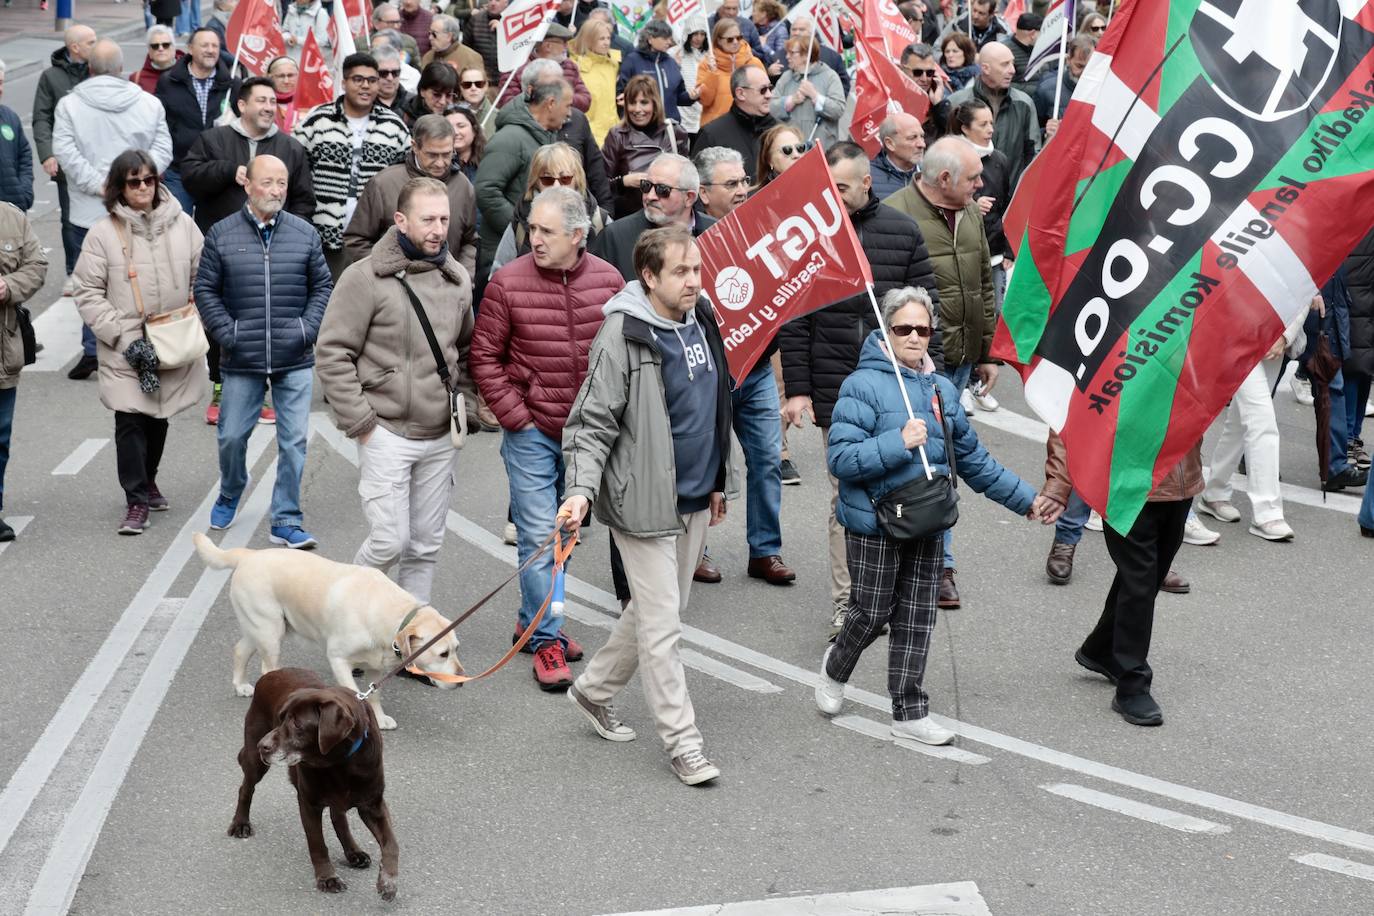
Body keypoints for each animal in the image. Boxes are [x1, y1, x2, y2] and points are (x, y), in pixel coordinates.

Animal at [193, 532, 464, 725]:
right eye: (443, 654)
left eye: (456, 649)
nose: (462, 681)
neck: (387, 611)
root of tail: (248, 555)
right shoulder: (338, 659)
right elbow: (354, 693)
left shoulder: (376, 667)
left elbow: (373, 694)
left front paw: (379, 718)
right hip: (269, 632)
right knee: (266, 668)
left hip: (261, 628)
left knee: (240, 650)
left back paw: (240, 685)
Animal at [228, 670, 401, 900]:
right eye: (280, 719)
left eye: (297, 724)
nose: (262, 746)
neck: (339, 762)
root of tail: (271, 674)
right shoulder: (309, 803)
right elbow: (317, 843)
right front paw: (327, 878)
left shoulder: (373, 804)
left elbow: (391, 844)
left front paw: (388, 882)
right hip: (255, 762)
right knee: (246, 788)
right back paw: (240, 823)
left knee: (338, 817)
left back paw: (353, 852)